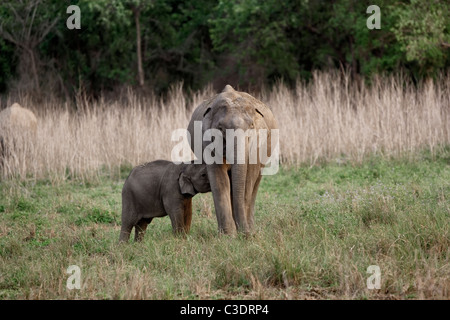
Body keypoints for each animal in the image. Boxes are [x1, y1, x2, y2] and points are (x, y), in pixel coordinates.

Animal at [187, 85, 278, 235]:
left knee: (255, 182)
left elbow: (247, 180)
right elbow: (220, 181)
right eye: (220, 129)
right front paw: (228, 235)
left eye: (251, 126)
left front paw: (244, 233)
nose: (246, 234)